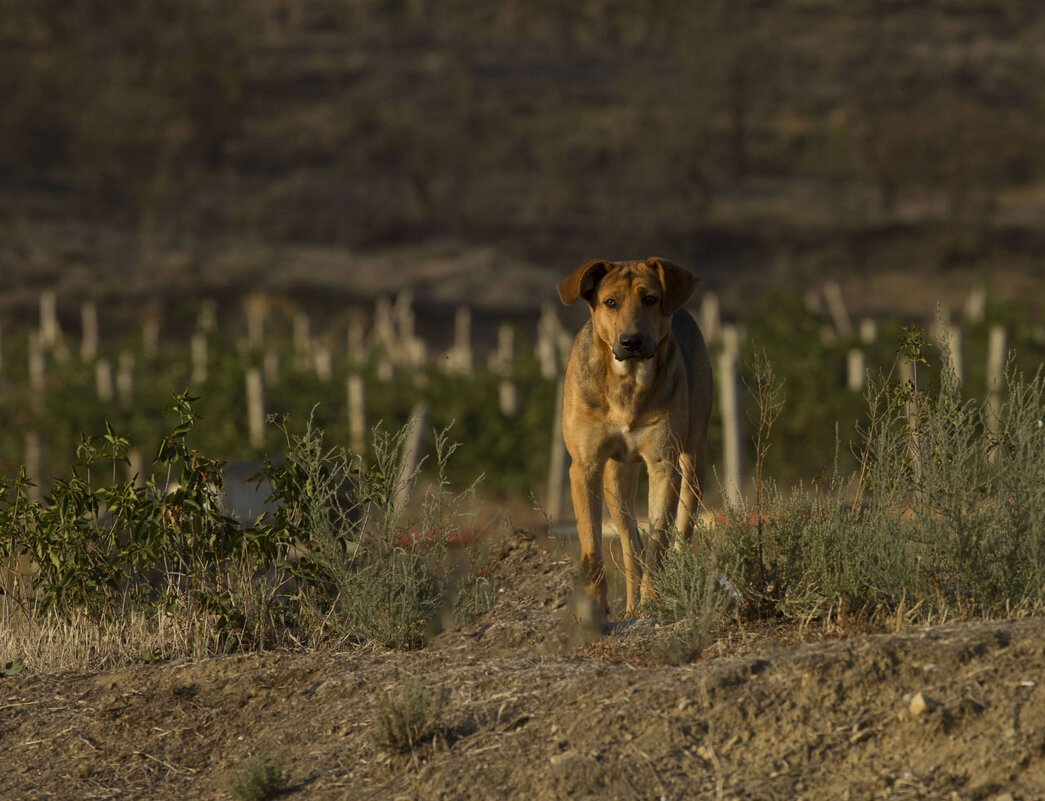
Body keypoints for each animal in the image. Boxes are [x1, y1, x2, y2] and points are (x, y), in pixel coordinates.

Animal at [560, 256, 714, 618]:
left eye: (650, 299)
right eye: (610, 302)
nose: (631, 341)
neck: (627, 384)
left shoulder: (663, 464)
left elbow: (659, 542)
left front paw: (653, 601)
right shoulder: (585, 466)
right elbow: (592, 546)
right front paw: (595, 607)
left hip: (693, 463)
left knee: (680, 535)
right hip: (617, 479)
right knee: (631, 546)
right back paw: (630, 607)